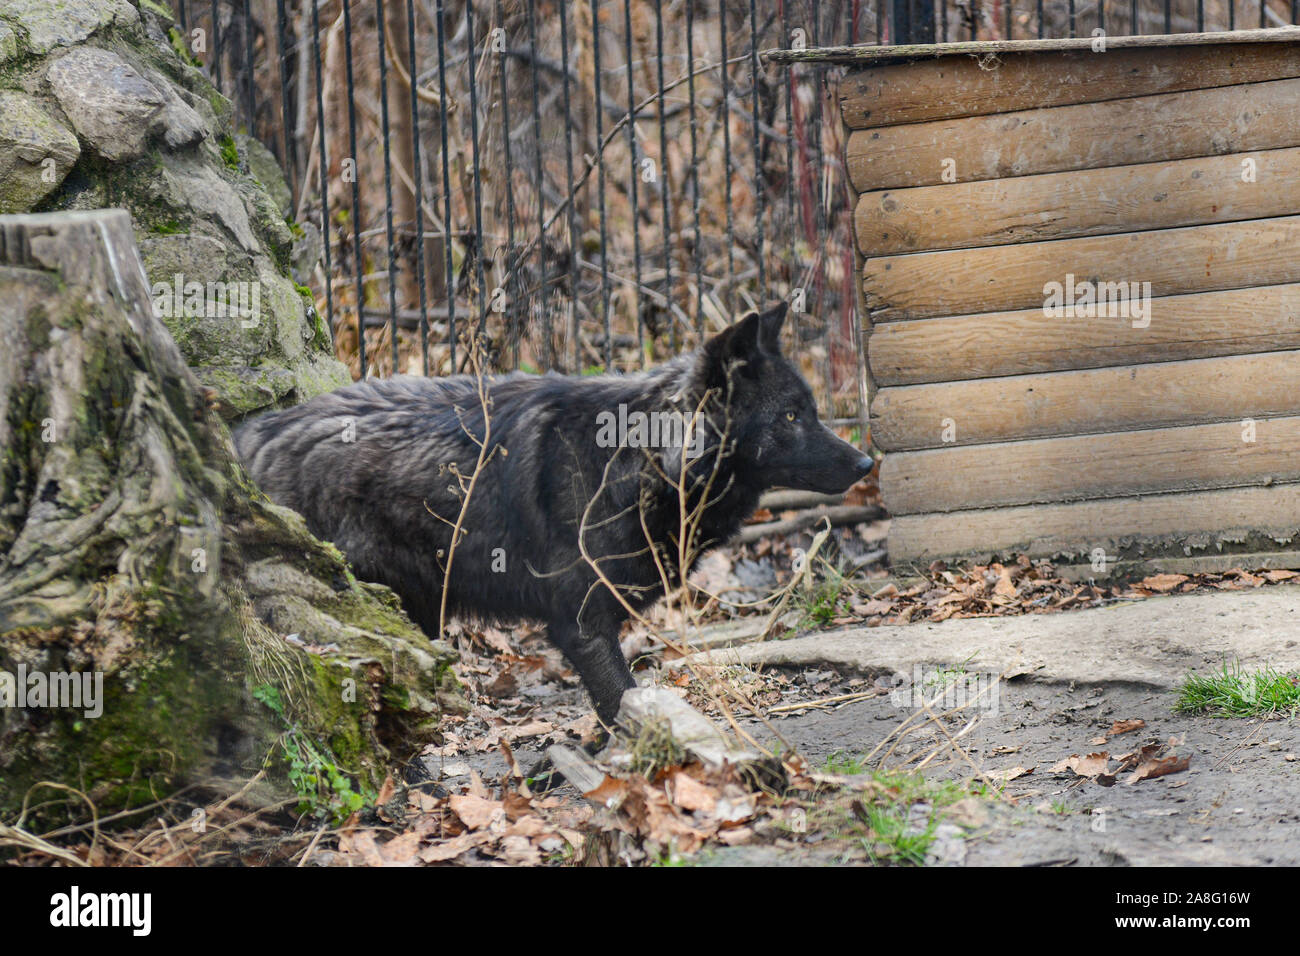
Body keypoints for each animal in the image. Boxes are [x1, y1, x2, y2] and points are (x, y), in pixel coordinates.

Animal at [234, 304, 872, 724]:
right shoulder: (581, 625)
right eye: (791, 416)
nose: (867, 461)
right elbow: (621, 699)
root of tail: (249, 436)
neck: (639, 460)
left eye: (811, 410)